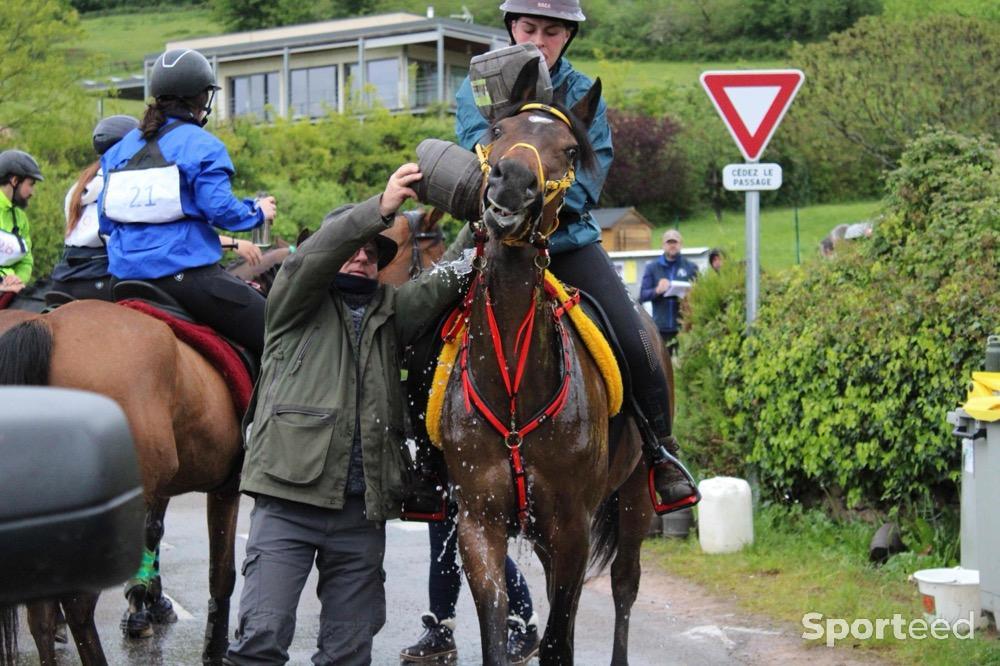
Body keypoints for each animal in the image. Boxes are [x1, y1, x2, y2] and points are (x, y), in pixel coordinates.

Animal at [428, 65, 656, 660]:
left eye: (571, 149)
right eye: (497, 131)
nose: (510, 184)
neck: (513, 386)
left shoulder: (573, 525)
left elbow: (557, 640)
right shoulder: (479, 525)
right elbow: (500, 631)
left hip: (634, 500)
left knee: (624, 585)